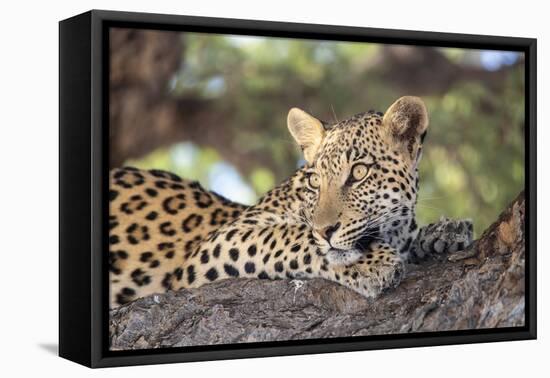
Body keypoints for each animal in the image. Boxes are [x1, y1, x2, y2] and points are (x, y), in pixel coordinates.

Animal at [111, 96, 474, 308]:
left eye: (358, 172)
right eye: (315, 180)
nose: (326, 229)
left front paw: (447, 231)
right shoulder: (217, 245)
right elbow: (289, 236)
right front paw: (373, 263)